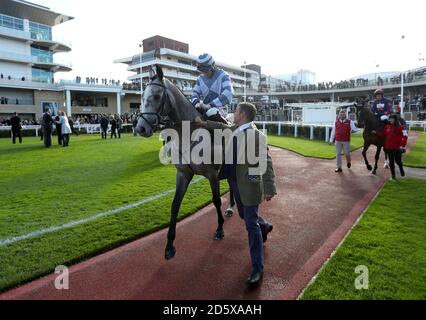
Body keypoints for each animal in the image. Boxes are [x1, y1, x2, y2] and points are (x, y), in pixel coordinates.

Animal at [136, 65, 233, 260]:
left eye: (156, 96)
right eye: (142, 97)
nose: (140, 128)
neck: (189, 135)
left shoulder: (212, 174)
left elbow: (216, 200)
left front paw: (219, 229)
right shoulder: (183, 174)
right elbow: (175, 205)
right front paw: (169, 245)